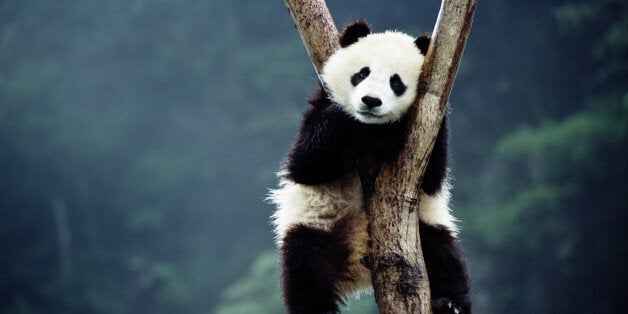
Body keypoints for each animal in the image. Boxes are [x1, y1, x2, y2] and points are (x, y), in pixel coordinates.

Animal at [268, 20, 468, 314]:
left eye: (396, 82)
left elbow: (433, 177)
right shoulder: (321, 105)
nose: (371, 101)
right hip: (315, 223)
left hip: (426, 227)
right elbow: (305, 163)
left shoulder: (429, 127)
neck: (369, 127)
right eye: (362, 73)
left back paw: (450, 304)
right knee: (305, 267)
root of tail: (357, 262)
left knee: (444, 256)